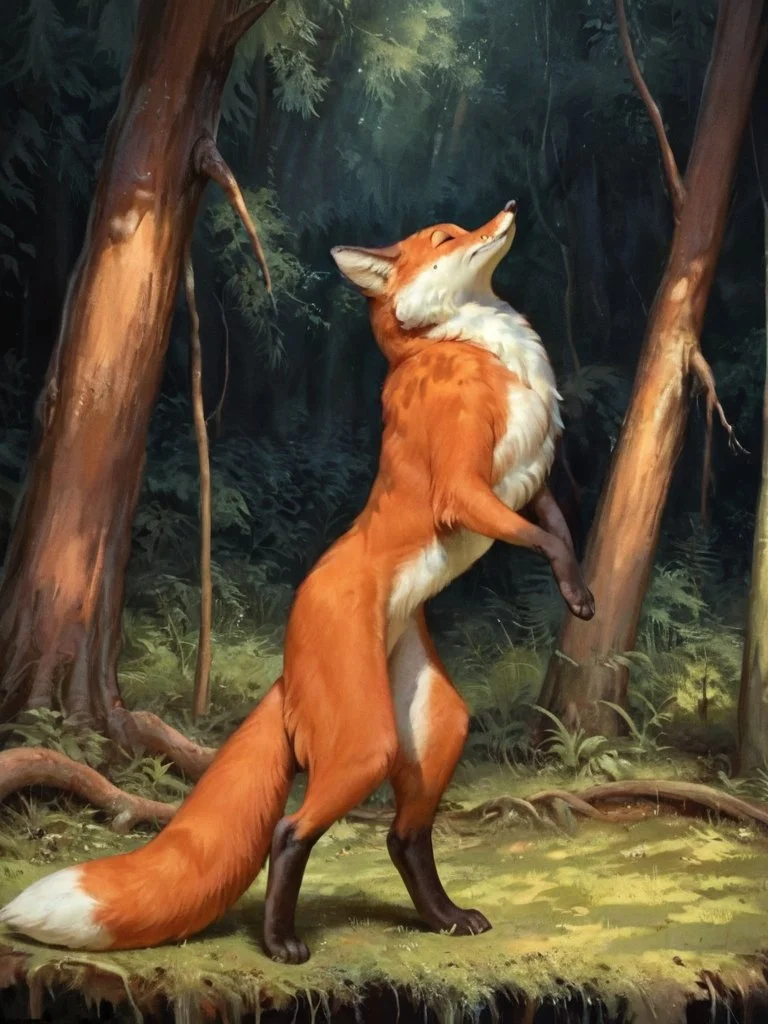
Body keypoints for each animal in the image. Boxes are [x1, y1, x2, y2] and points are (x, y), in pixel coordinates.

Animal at [0, 200, 594, 964]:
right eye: (448, 237)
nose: (512, 209)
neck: (467, 347)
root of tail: (287, 669)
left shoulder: (529, 480)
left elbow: (561, 535)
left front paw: (579, 594)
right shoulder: (464, 490)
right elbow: (543, 537)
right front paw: (574, 592)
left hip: (435, 726)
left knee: (403, 835)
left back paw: (442, 918)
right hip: (365, 742)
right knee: (289, 832)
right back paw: (281, 942)